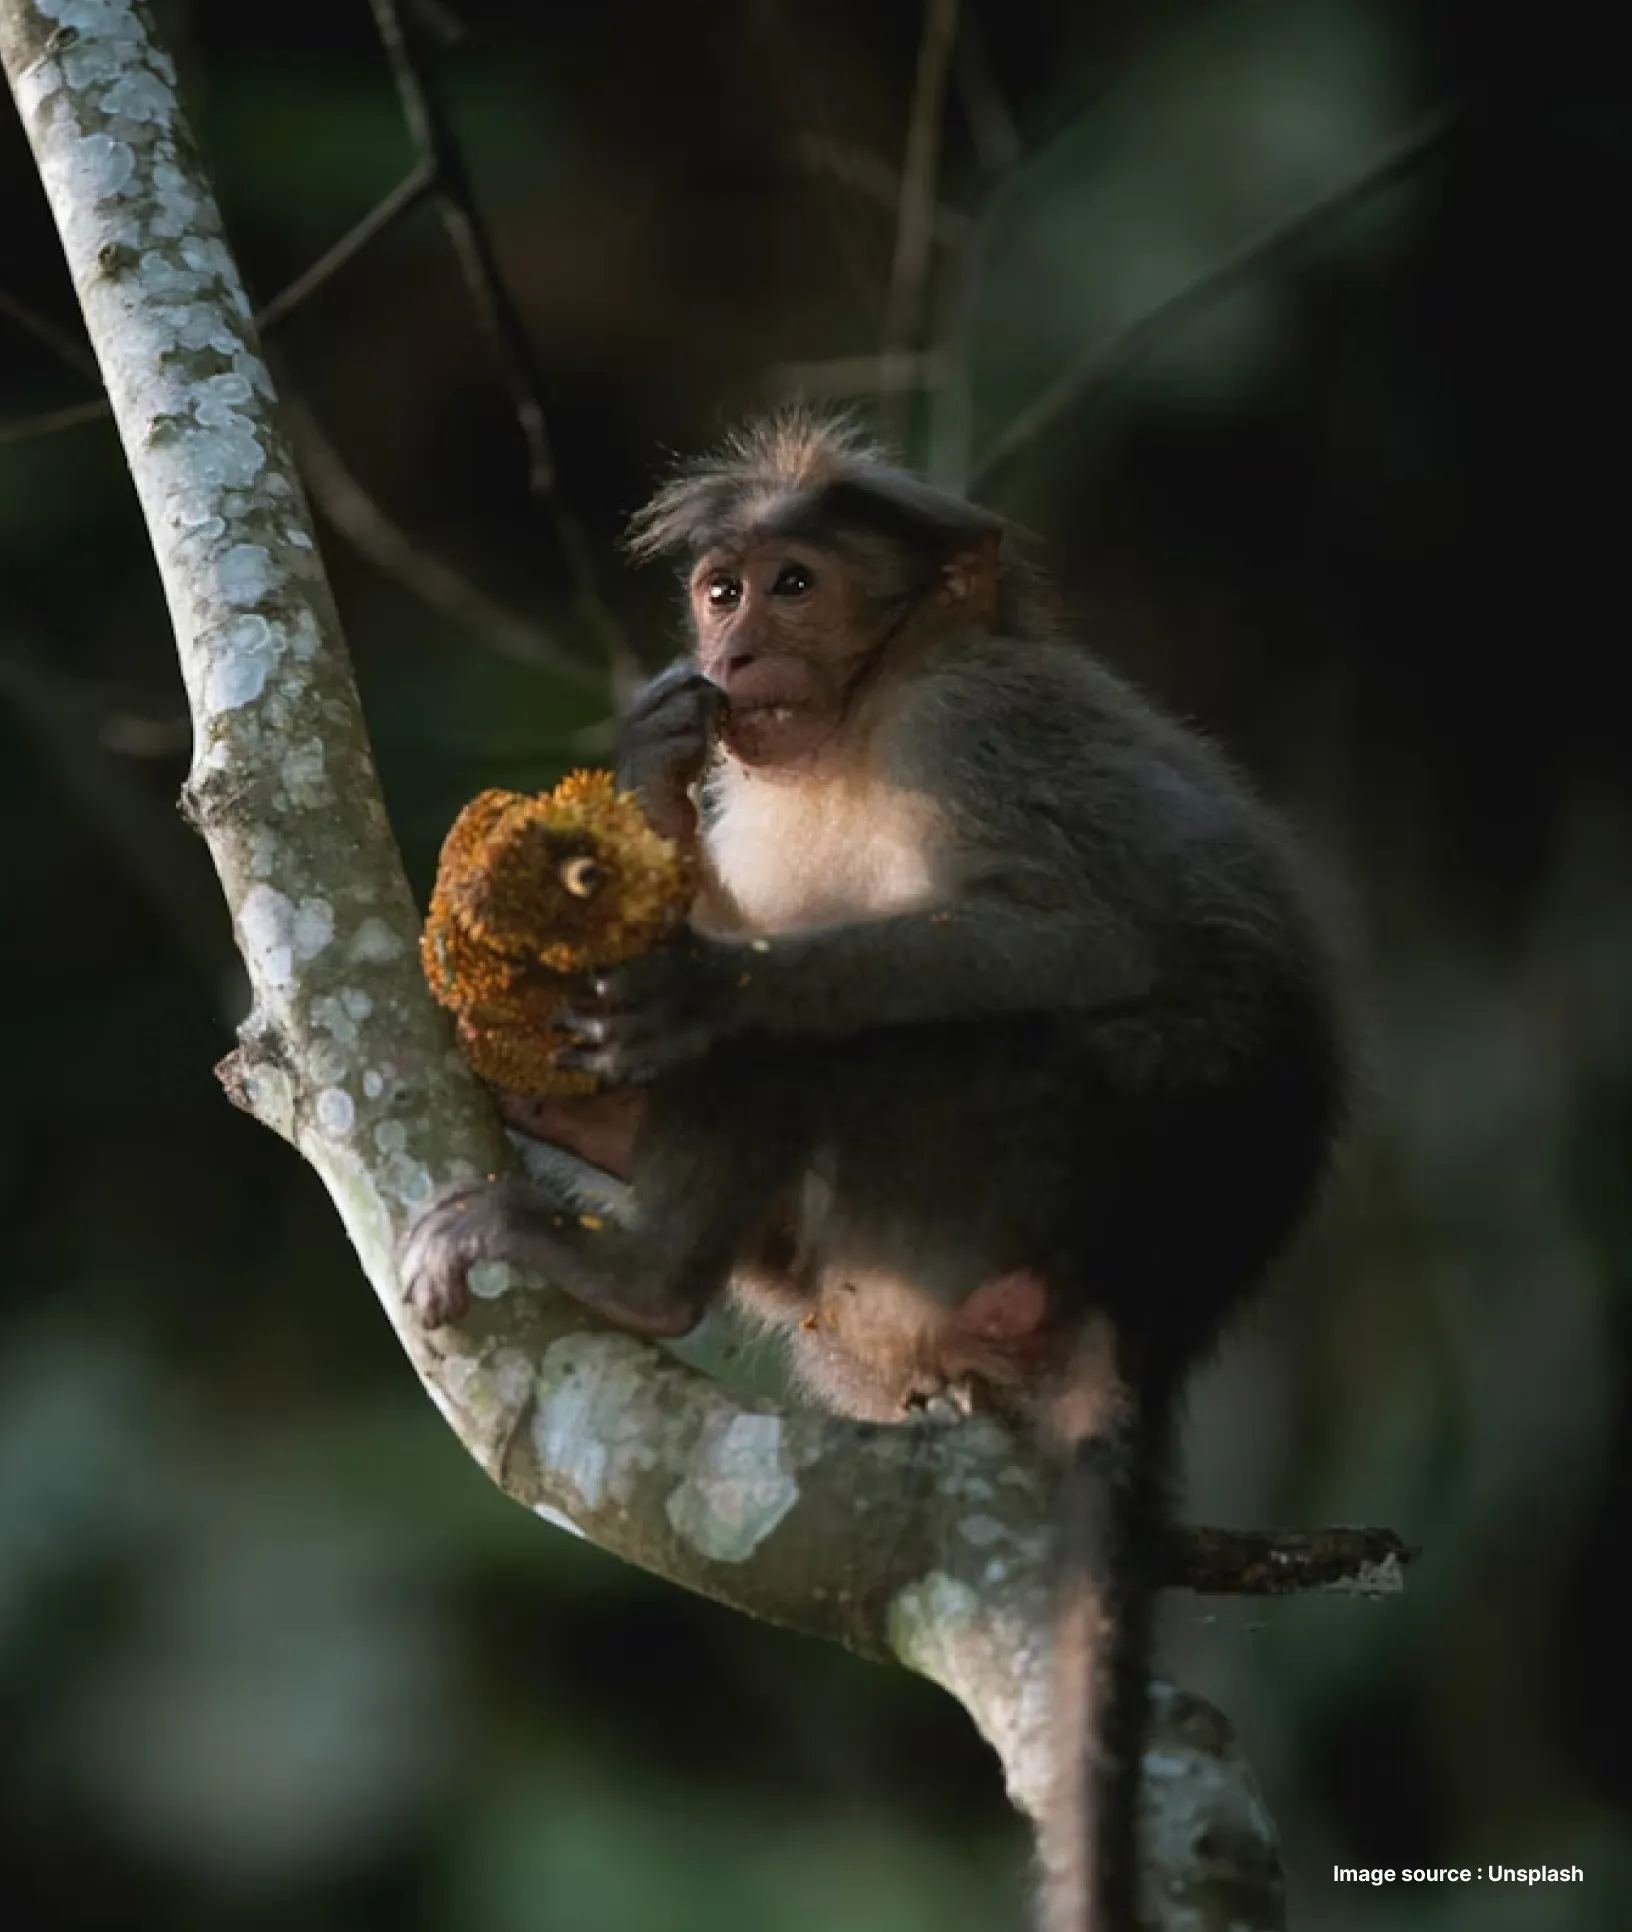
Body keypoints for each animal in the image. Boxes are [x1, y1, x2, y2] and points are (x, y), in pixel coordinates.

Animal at [399, 411, 1351, 1930]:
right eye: (720, 592)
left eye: (796, 588)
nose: (733, 657)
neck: (859, 720)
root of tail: (1162, 1290)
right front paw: (649, 770)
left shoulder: (974, 729)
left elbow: (1070, 939)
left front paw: (719, 989)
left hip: (1029, 1139)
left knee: (845, 1056)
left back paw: (641, 1265)